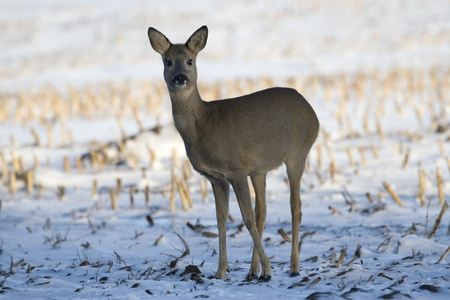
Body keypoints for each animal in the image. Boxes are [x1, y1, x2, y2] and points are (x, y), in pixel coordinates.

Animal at [149, 25, 320, 282]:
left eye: (190, 60)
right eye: (168, 61)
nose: (180, 78)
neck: (204, 125)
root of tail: (312, 110)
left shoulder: (237, 169)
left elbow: (245, 218)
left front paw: (268, 269)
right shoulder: (216, 177)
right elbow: (221, 220)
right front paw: (220, 271)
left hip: (298, 154)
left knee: (295, 207)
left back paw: (292, 267)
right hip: (260, 170)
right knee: (263, 211)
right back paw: (253, 271)